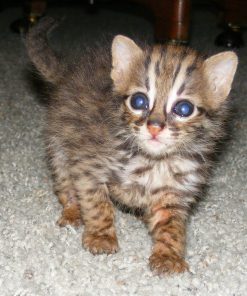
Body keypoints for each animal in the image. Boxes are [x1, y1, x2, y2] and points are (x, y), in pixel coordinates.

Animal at [26, 16, 237, 276]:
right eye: (139, 101)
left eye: (184, 108)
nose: (155, 127)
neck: (154, 161)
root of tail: (69, 73)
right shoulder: (88, 167)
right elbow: (97, 205)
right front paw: (101, 236)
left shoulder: (175, 193)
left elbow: (171, 227)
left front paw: (168, 255)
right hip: (60, 146)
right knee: (66, 186)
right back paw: (74, 211)